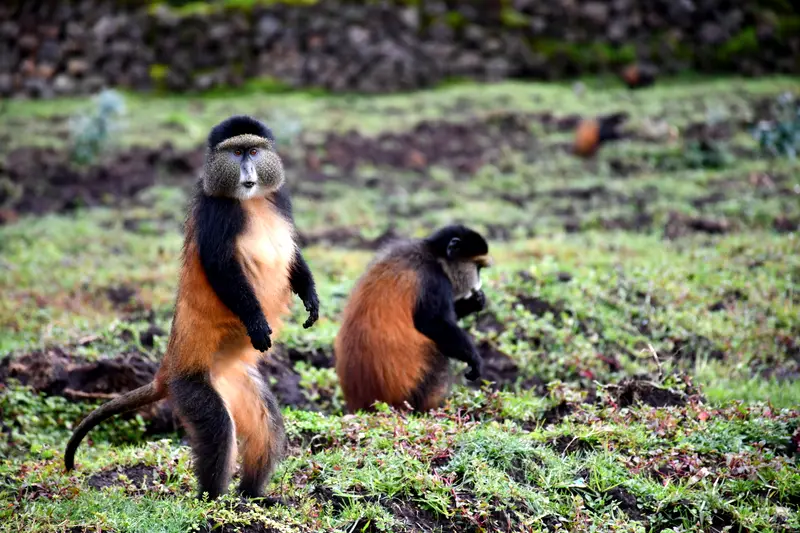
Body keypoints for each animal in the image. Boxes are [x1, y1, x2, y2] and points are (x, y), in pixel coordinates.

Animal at [64, 115, 320, 502]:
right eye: (235, 153)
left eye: (253, 151)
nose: (248, 172)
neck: (251, 201)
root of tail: (165, 371)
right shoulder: (217, 214)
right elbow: (220, 268)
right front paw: (257, 321)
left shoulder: (280, 199)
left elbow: (292, 253)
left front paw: (311, 298)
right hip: (192, 386)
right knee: (218, 428)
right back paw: (212, 499)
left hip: (237, 382)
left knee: (266, 424)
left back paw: (253, 494)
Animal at [334, 224, 492, 413]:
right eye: (478, 267)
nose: (478, 284)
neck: (434, 255)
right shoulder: (434, 280)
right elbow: (433, 324)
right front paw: (474, 359)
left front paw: (474, 302)